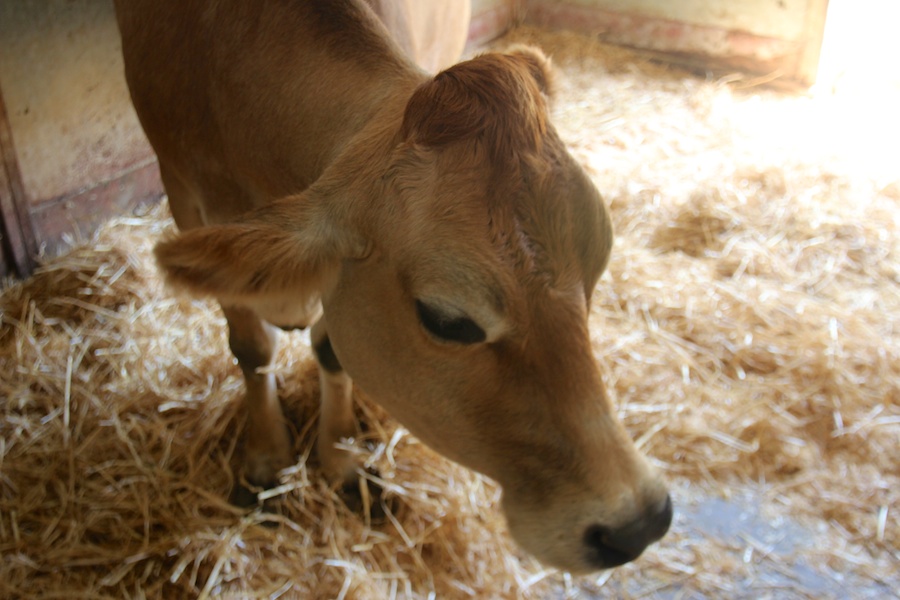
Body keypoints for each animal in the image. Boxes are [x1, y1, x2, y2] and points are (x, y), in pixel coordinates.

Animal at [114, 0, 668, 572]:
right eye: (446, 320)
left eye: (599, 265)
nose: (639, 524)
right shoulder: (182, 191)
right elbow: (252, 348)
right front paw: (266, 461)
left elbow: (331, 351)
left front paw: (342, 459)